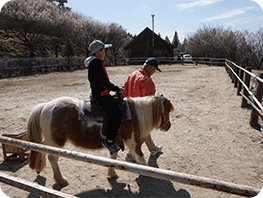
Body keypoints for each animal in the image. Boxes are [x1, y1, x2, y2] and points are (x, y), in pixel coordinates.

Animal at [27, 95, 175, 185]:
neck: (134, 115)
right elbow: (141, 157)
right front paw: (146, 172)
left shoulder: (116, 143)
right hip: (55, 143)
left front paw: (112, 174)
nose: (168, 126)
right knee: (53, 159)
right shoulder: (133, 142)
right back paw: (60, 180)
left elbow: (113, 158)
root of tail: (45, 106)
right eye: (167, 111)